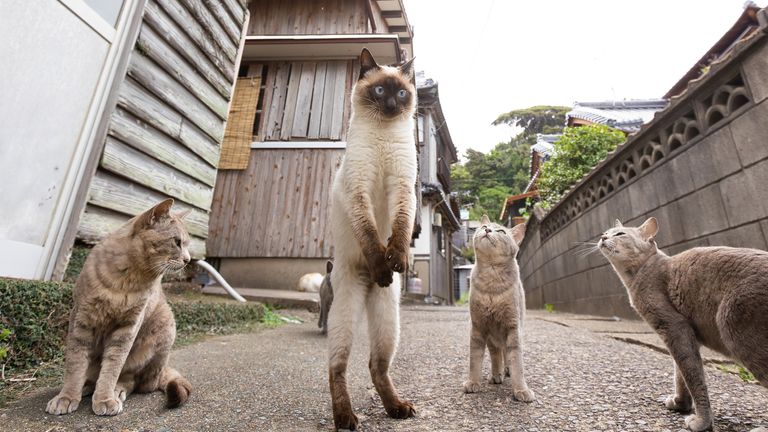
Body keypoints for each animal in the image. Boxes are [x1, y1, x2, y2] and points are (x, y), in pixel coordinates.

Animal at [47, 198, 192, 416]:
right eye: (177, 242)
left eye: (186, 244)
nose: (188, 259)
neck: (127, 280)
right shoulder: (81, 320)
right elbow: (75, 364)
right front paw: (67, 396)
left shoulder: (128, 327)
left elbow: (113, 367)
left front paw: (105, 398)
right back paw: (87, 386)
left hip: (164, 330)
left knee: (135, 382)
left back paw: (116, 390)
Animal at [600, 219, 768, 432]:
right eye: (606, 232)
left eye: (620, 234)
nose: (602, 237)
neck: (639, 273)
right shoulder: (685, 334)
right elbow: (680, 372)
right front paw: (680, 403)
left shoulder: (674, 326)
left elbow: (692, 375)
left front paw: (702, 421)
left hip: (737, 330)